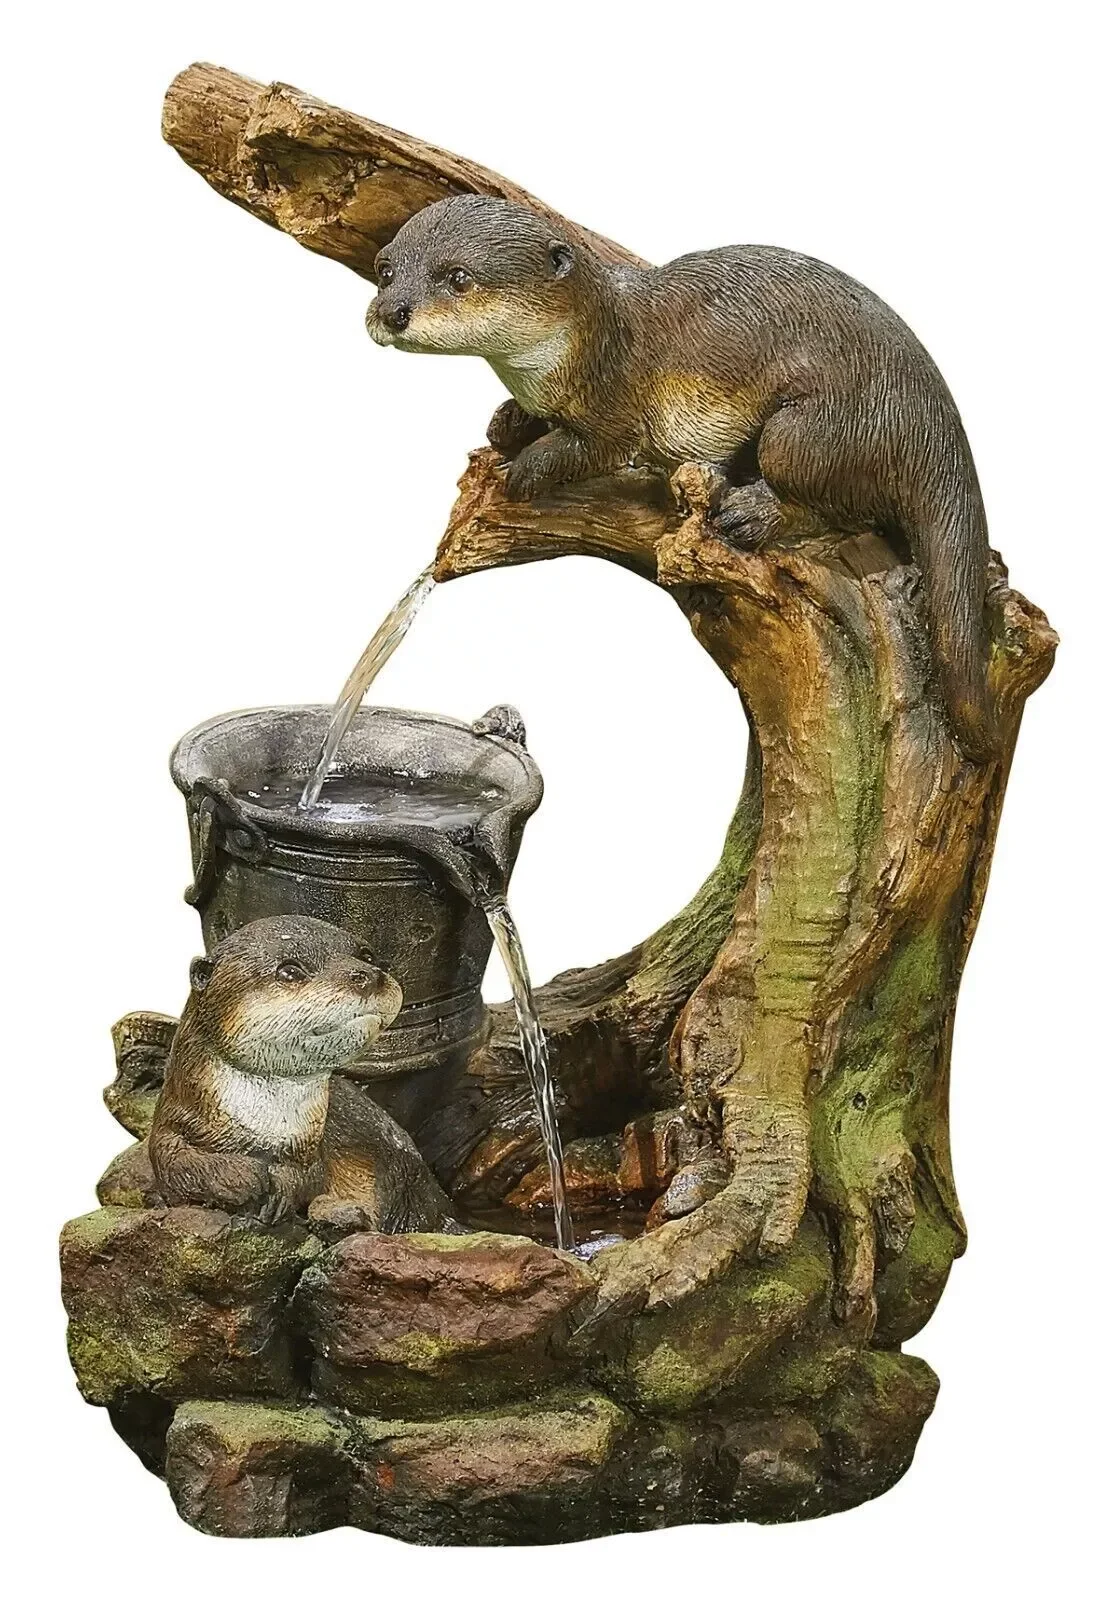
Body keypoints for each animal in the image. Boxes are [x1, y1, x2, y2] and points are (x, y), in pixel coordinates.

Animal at [149, 915, 455, 1231]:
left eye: (367, 956)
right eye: (290, 970)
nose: (367, 975)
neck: (264, 1126)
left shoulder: (311, 1145)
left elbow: (310, 1174)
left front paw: (281, 1187)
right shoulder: (175, 1116)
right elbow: (174, 1161)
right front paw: (243, 1177)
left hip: (398, 1174)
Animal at [367, 195, 994, 759]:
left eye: (458, 277)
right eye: (386, 270)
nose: (392, 312)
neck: (586, 344)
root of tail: (940, 423)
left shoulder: (613, 401)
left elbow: (589, 449)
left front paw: (522, 472)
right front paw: (506, 422)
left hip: (819, 427)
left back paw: (749, 512)